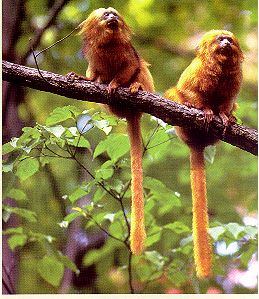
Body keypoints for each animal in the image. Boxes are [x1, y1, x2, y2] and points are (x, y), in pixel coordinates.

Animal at [69, 7, 154, 255]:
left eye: (113, 14)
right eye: (106, 15)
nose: (113, 17)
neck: (108, 44)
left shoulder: (127, 51)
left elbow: (131, 66)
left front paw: (116, 84)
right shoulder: (94, 56)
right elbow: (94, 73)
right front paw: (86, 78)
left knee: (142, 68)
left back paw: (136, 87)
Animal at [166, 30, 245, 278]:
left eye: (229, 40)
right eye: (220, 39)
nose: (226, 42)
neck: (220, 66)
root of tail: (195, 144)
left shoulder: (234, 81)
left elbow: (227, 102)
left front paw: (224, 116)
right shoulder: (196, 72)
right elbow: (190, 91)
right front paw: (206, 110)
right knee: (175, 92)